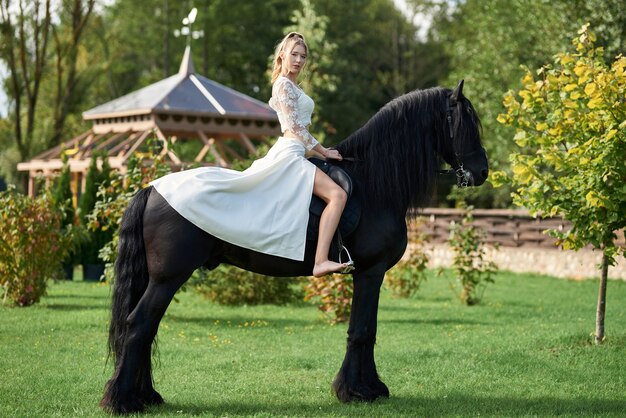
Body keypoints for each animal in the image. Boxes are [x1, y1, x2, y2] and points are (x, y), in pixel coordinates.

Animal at [100, 80, 488, 414]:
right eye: (465, 123)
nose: (482, 171)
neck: (373, 183)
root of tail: (153, 188)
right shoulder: (370, 272)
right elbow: (361, 330)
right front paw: (356, 391)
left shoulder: (369, 274)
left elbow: (368, 330)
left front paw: (369, 388)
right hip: (168, 278)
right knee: (139, 325)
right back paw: (123, 401)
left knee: (146, 328)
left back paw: (144, 396)